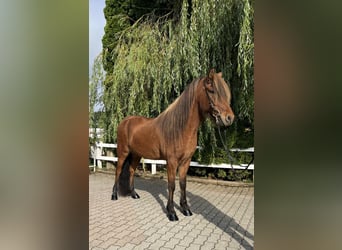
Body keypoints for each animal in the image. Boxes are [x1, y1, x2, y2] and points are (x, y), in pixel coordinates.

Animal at [112, 69, 235, 221]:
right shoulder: (171, 161)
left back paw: (134, 194)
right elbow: (172, 185)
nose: (229, 118)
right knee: (118, 171)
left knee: (131, 171)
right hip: (123, 152)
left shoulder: (186, 161)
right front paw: (171, 212)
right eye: (212, 90)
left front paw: (185, 209)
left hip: (136, 155)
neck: (180, 128)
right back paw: (114, 195)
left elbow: (183, 184)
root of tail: (125, 121)